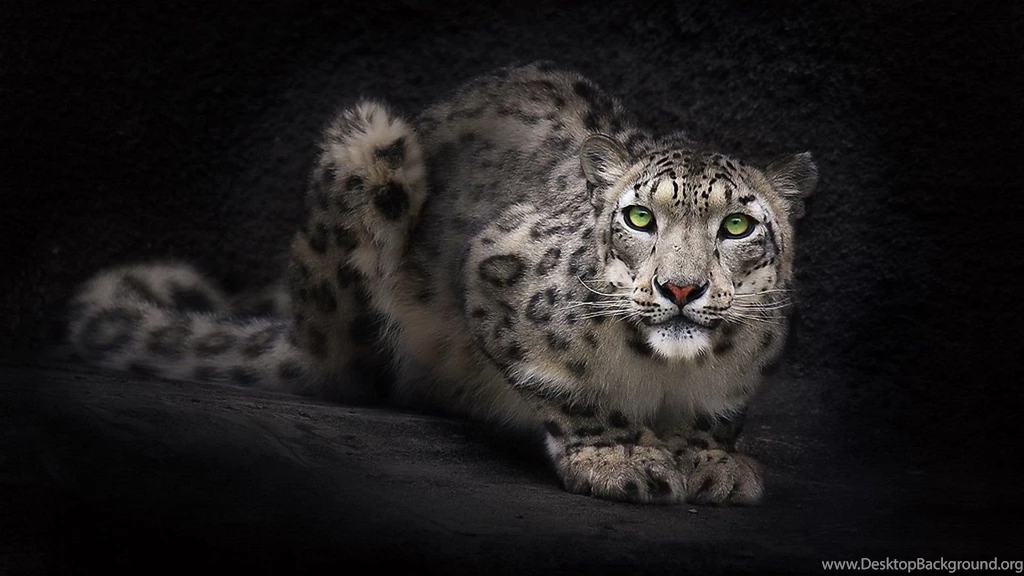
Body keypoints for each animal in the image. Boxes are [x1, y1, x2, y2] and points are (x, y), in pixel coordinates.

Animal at [68, 62, 818, 505]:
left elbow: (719, 413)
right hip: (369, 151)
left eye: (736, 226)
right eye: (639, 216)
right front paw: (621, 456)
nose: (680, 290)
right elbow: (566, 388)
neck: (667, 375)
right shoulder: (496, 270)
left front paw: (711, 461)